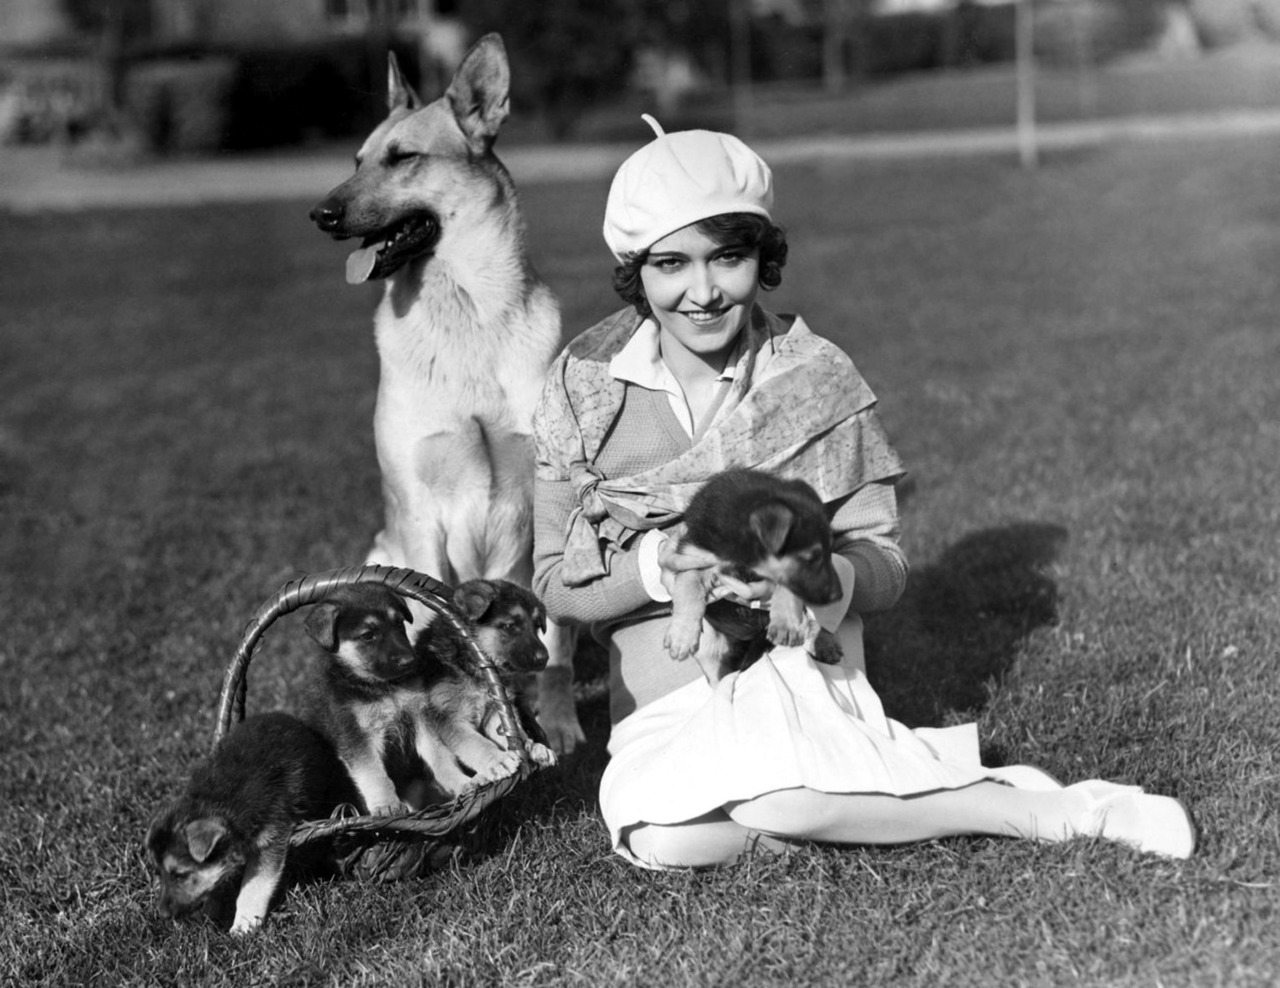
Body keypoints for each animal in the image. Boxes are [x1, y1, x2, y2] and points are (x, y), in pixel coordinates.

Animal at [145, 712, 355, 935]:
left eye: (180, 875)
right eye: (159, 873)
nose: (162, 915)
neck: (215, 801)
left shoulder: (270, 840)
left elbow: (253, 887)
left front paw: (243, 924)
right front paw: (210, 912)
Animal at [309, 32, 583, 754]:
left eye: (403, 157)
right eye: (356, 160)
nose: (320, 214)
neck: (465, 319)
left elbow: (554, 646)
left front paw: (558, 720)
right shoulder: (420, 511)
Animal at [663, 468, 845, 684]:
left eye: (830, 551)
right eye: (812, 558)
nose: (838, 596)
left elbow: (787, 586)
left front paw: (785, 622)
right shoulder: (690, 557)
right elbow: (688, 588)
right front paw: (682, 635)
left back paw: (825, 642)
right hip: (710, 645)